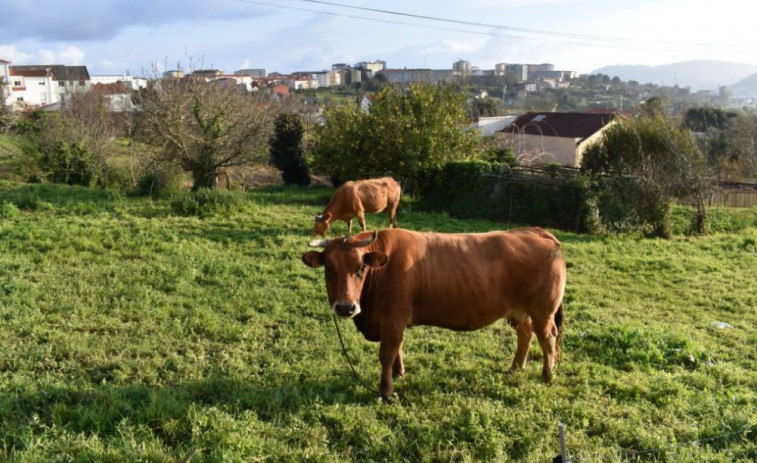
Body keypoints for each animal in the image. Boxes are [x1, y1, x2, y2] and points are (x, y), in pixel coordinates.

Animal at [302, 228, 568, 402]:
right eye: (329, 268)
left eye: (361, 268)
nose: (345, 307)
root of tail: (536, 231)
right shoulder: (395, 321)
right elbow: (398, 348)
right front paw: (399, 373)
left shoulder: (393, 318)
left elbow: (387, 353)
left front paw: (386, 391)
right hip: (520, 312)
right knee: (526, 335)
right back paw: (515, 368)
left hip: (543, 312)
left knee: (548, 339)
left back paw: (547, 376)